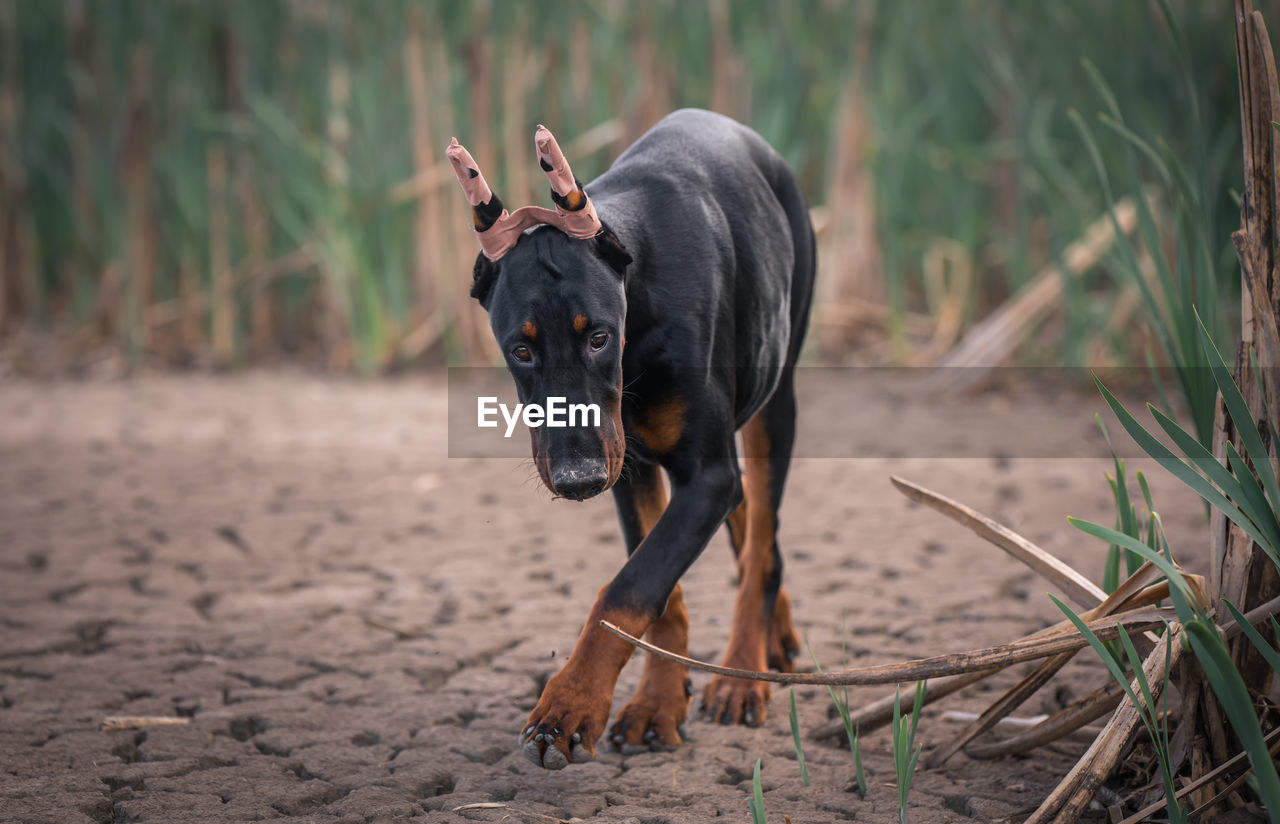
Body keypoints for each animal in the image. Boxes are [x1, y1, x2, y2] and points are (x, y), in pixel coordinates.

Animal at [445, 106, 814, 767]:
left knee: (761, 541)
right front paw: (656, 706)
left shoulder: (704, 475)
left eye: (599, 337)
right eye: (521, 349)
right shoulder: (629, 466)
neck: (637, 301)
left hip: (777, 398)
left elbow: (630, 588)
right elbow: (659, 591)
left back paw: (742, 675)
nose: (576, 480)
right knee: (753, 525)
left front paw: (569, 706)